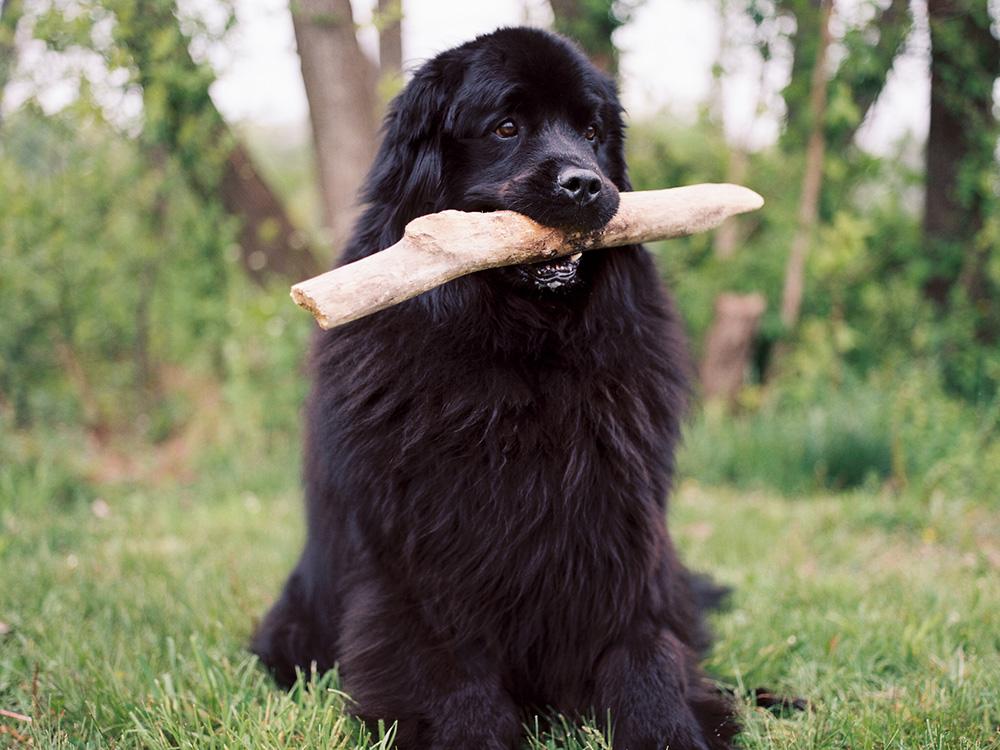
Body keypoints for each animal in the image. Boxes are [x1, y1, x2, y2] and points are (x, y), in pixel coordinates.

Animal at [250, 26, 736, 750]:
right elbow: (449, 674)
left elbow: (645, 654)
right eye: (506, 127)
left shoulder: (621, 540)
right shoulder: (421, 559)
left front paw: (671, 729)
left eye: (591, 132)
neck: (523, 358)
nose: (585, 186)